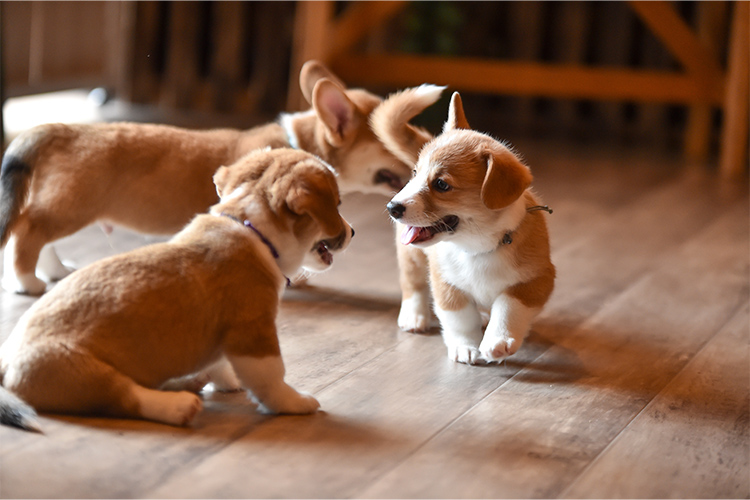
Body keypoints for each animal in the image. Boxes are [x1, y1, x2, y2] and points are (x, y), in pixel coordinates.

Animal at [0, 60, 440, 294]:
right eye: (389, 140)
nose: (426, 149)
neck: (301, 141)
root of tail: (61, 129)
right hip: (71, 207)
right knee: (28, 230)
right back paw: (27, 281)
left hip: (67, 207)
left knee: (40, 234)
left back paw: (55, 271)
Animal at [0, 147, 356, 430]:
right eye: (337, 204)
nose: (353, 232)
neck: (253, 230)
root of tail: (6, 361)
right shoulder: (254, 333)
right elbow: (272, 378)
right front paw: (295, 402)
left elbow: (220, 364)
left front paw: (227, 383)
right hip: (81, 372)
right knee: (124, 397)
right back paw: (178, 405)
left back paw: (189, 383)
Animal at [388, 94, 560, 366]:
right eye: (415, 173)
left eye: (441, 184)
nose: (392, 207)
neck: (476, 247)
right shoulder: (446, 284)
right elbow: (460, 319)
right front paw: (465, 347)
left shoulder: (536, 280)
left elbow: (508, 305)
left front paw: (497, 341)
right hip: (411, 256)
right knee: (412, 283)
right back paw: (413, 317)